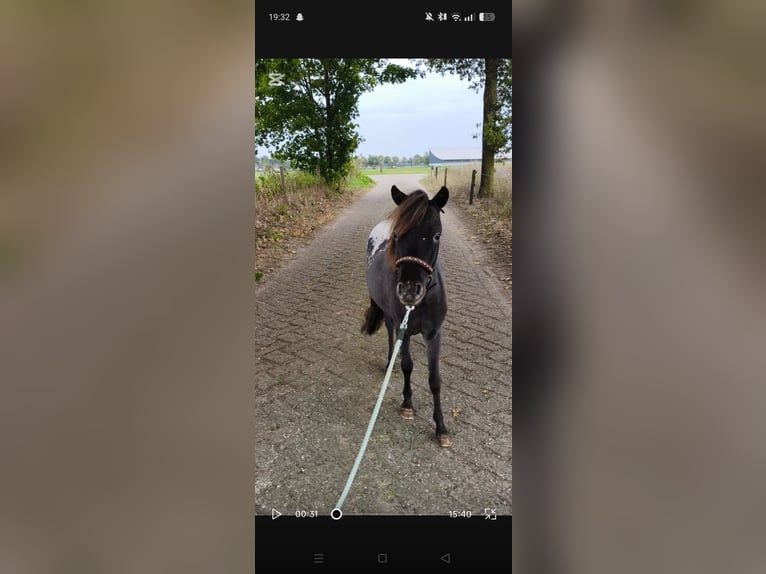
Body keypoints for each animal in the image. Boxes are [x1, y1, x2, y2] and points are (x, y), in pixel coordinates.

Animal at [361, 185, 451, 447]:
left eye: (436, 236)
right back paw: (391, 358)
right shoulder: (406, 330)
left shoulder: (434, 334)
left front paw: (441, 427)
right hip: (391, 317)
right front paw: (407, 404)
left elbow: (434, 380)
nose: (410, 291)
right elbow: (407, 366)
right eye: (397, 236)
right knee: (391, 334)